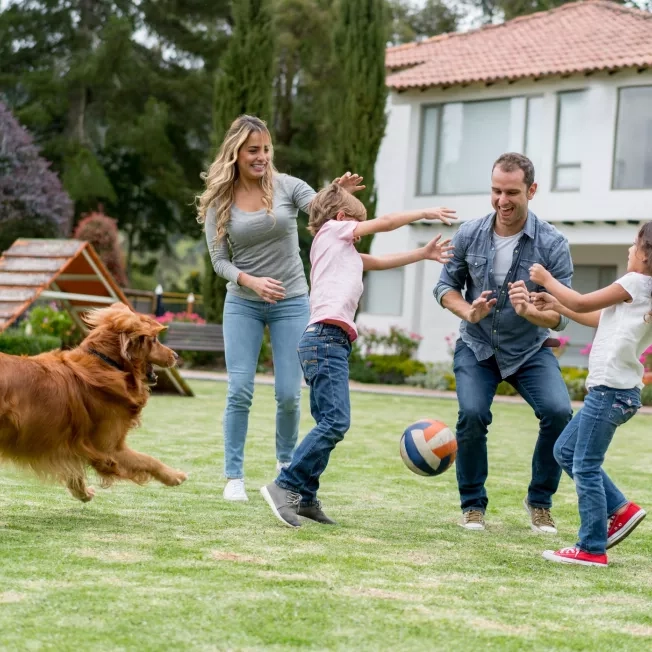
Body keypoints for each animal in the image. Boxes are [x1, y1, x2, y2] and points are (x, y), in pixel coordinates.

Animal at [0, 304, 188, 502]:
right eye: (154, 340)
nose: (176, 355)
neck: (107, 365)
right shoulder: (109, 449)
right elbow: (148, 459)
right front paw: (174, 476)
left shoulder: (72, 445)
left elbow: (75, 474)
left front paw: (82, 492)